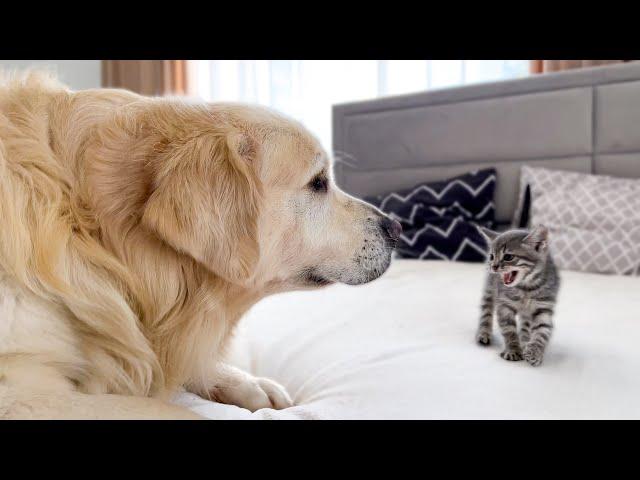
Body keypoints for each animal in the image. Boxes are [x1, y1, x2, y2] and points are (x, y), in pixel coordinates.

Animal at [476, 225, 560, 368]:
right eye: (492, 256)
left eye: (508, 257)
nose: (493, 266)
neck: (527, 288)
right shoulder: (504, 305)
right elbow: (509, 330)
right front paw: (513, 350)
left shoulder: (544, 307)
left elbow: (542, 331)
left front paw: (534, 352)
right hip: (490, 289)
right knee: (486, 310)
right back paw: (483, 333)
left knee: (525, 324)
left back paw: (525, 341)